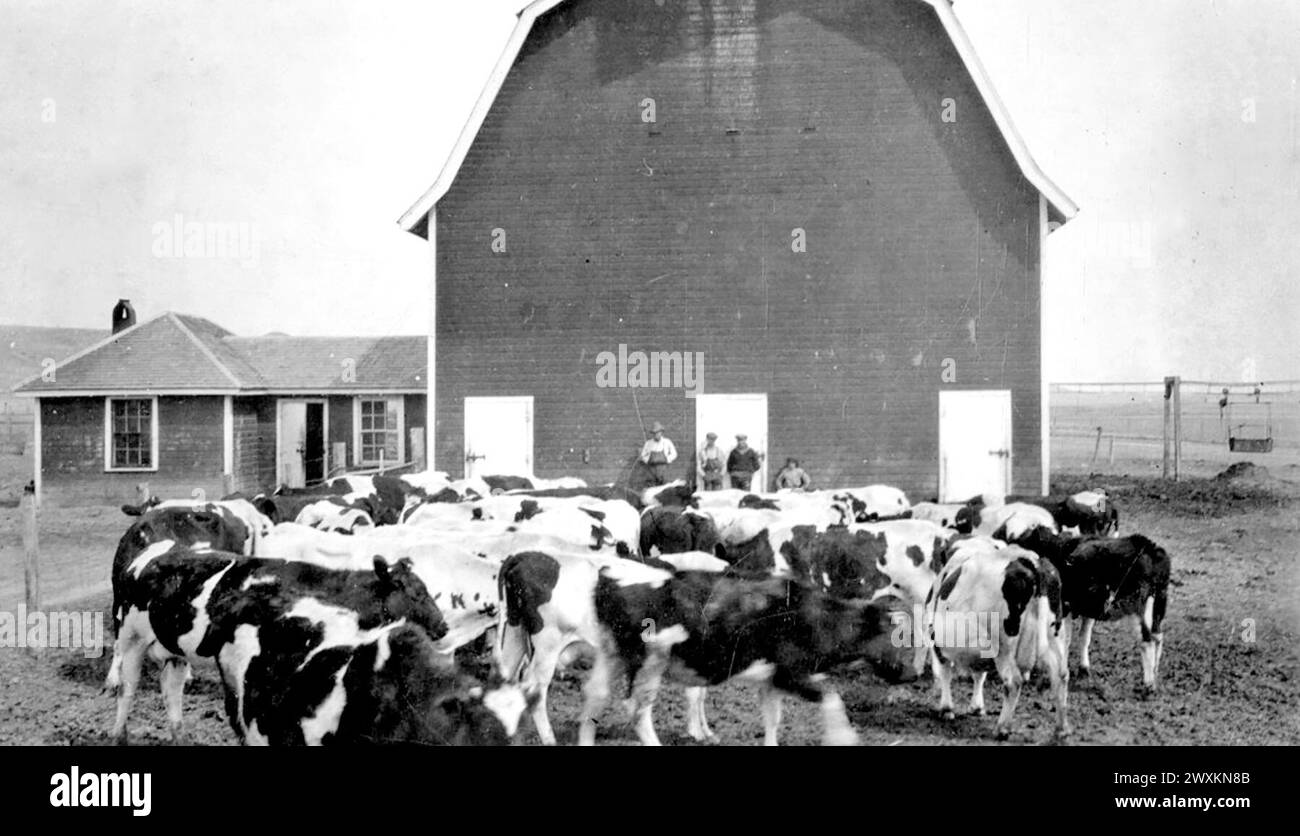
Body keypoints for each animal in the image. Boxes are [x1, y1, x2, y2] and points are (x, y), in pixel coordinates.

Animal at [925, 535, 1066, 738]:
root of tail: (1031, 561)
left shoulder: (936, 640)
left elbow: (945, 672)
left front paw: (946, 709)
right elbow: (979, 674)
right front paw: (977, 707)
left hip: (1004, 648)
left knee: (1013, 681)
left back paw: (1002, 728)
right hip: (1055, 636)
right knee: (1060, 676)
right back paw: (1061, 730)